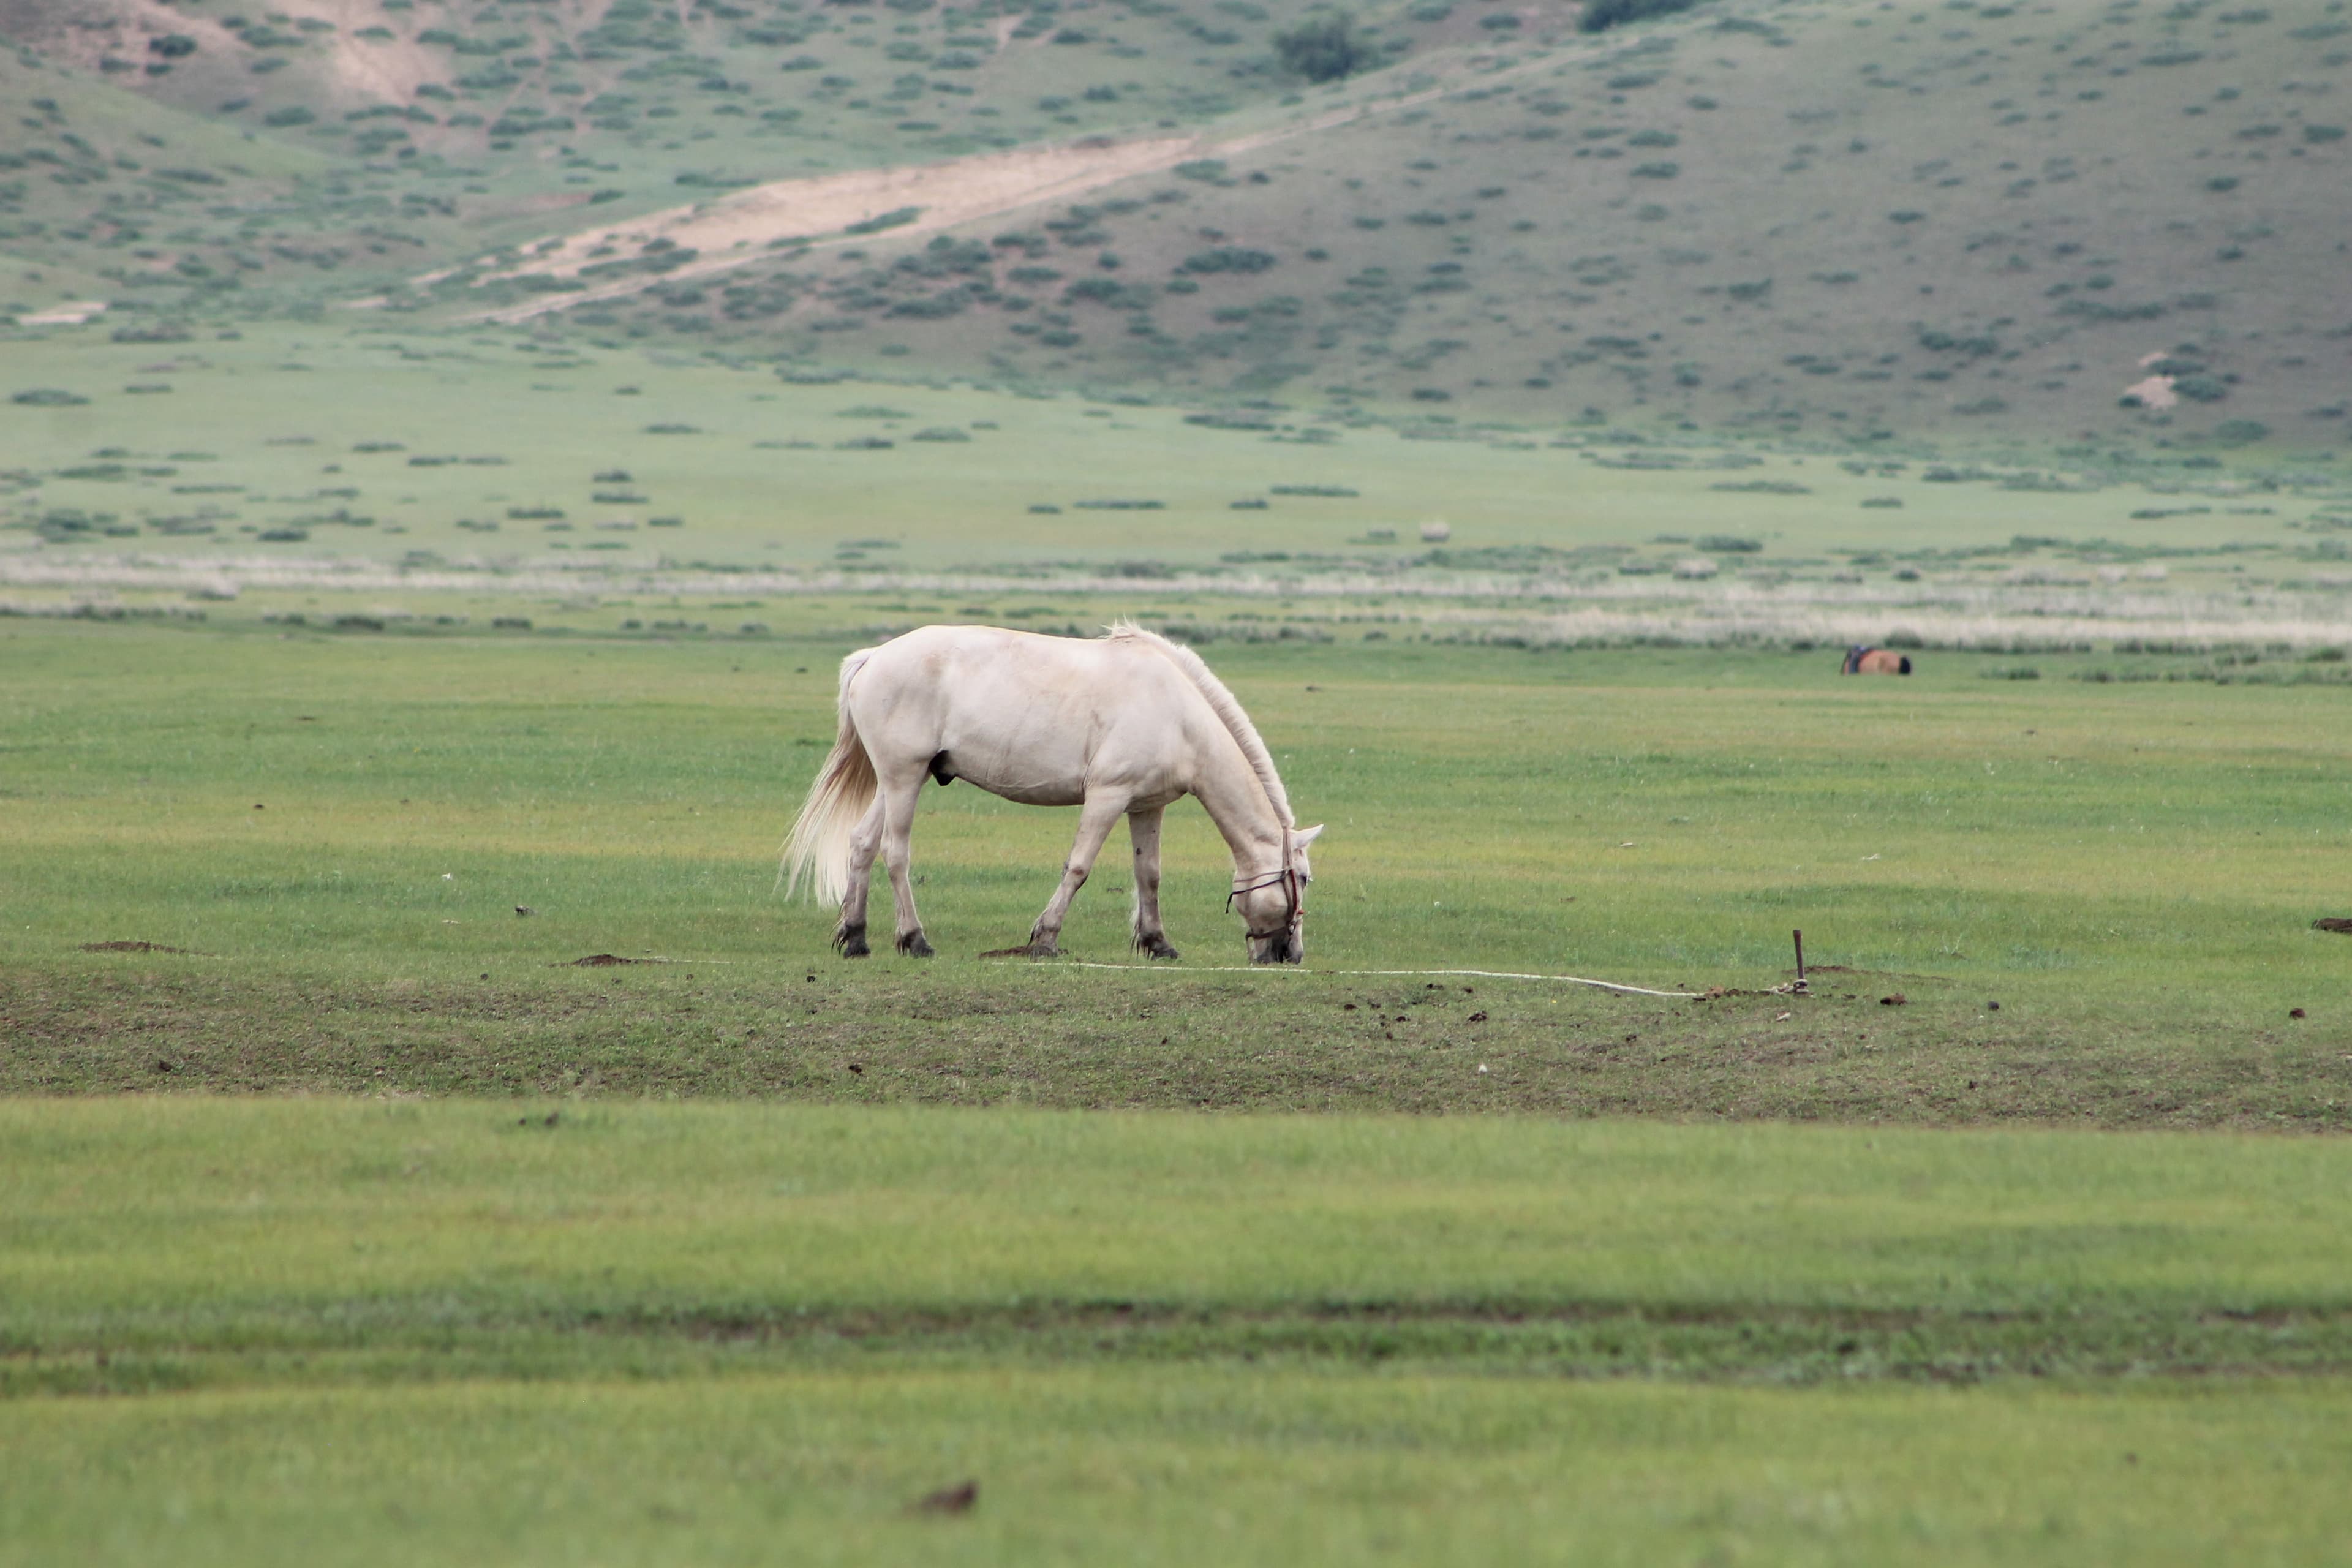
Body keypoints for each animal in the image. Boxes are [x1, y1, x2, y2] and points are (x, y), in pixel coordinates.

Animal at [783, 623, 1322, 964]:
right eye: (1303, 879)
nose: (1290, 955)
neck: (1179, 714)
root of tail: (873, 657)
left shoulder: (1147, 807)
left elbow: (1148, 875)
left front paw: (1157, 943)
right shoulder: (1107, 797)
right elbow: (1078, 868)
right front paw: (1045, 939)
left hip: (897, 782)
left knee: (862, 843)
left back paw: (855, 938)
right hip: (903, 778)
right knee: (895, 853)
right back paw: (914, 940)